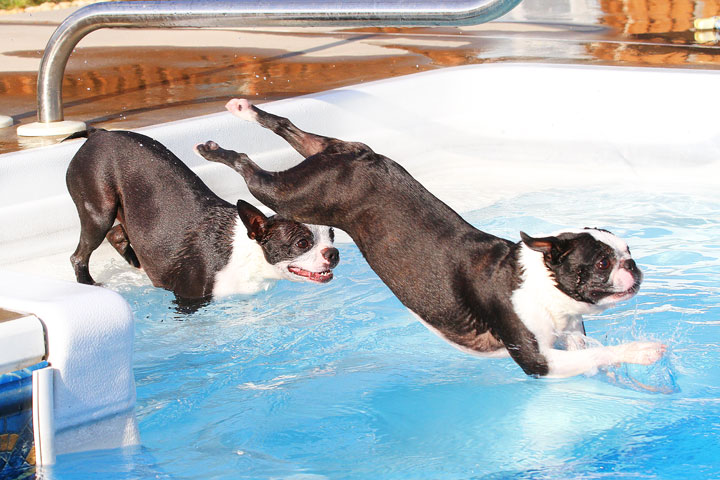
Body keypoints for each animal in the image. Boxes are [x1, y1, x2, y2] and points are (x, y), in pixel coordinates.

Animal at [65, 128, 340, 308]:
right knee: (80, 254)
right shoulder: (189, 300)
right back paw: (88, 283)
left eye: (332, 235)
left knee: (117, 233)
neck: (246, 254)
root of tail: (99, 133)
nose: (333, 253)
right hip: (99, 209)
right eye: (302, 244)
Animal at [194, 98, 668, 378]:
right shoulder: (538, 360)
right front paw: (643, 352)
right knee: (250, 167)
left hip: (327, 160)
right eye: (603, 263)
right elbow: (597, 354)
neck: (540, 281)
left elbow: (589, 348)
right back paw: (215, 150)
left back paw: (243, 110)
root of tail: (361, 160)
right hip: (292, 196)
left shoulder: (569, 333)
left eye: (629, 251)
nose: (634, 267)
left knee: (288, 125)